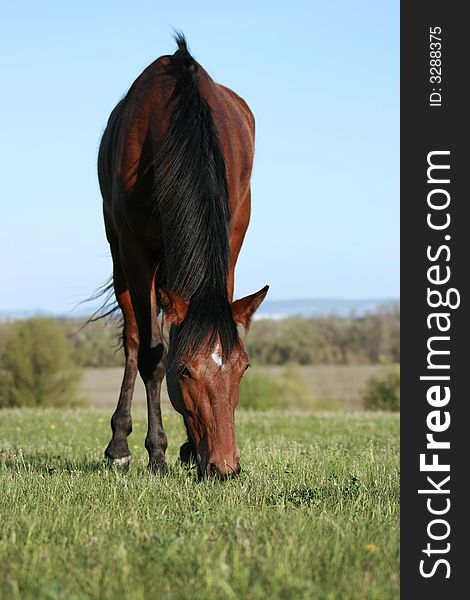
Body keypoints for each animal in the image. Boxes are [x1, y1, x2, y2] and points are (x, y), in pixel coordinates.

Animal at [98, 35, 268, 480]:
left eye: (243, 368)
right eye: (185, 371)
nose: (225, 467)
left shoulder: (230, 237)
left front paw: (190, 449)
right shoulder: (134, 250)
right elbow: (153, 354)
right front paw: (156, 452)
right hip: (119, 255)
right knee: (135, 339)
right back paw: (120, 444)